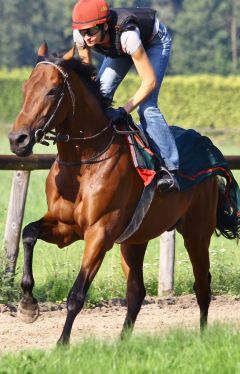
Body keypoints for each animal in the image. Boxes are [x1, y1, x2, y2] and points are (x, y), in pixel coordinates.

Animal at [8, 41, 239, 344]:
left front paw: (61, 343)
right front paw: (27, 305)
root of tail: (209, 148)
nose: (17, 139)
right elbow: (28, 233)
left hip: (196, 233)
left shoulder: (99, 232)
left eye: (53, 90)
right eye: (25, 88)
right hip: (135, 238)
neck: (85, 160)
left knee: (202, 284)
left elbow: (77, 294)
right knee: (137, 291)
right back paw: (122, 342)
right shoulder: (66, 226)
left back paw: (201, 336)